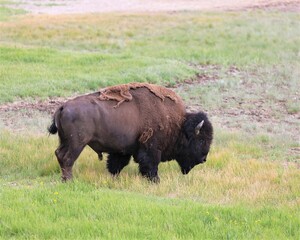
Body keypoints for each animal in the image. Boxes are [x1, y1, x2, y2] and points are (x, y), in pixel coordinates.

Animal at [48, 82, 213, 182]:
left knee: (59, 154)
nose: (204, 159)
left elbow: (116, 164)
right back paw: (69, 180)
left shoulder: (122, 150)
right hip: (77, 143)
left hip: (65, 141)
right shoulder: (151, 148)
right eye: (201, 139)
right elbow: (150, 165)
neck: (178, 124)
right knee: (67, 158)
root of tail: (63, 106)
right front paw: (155, 181)